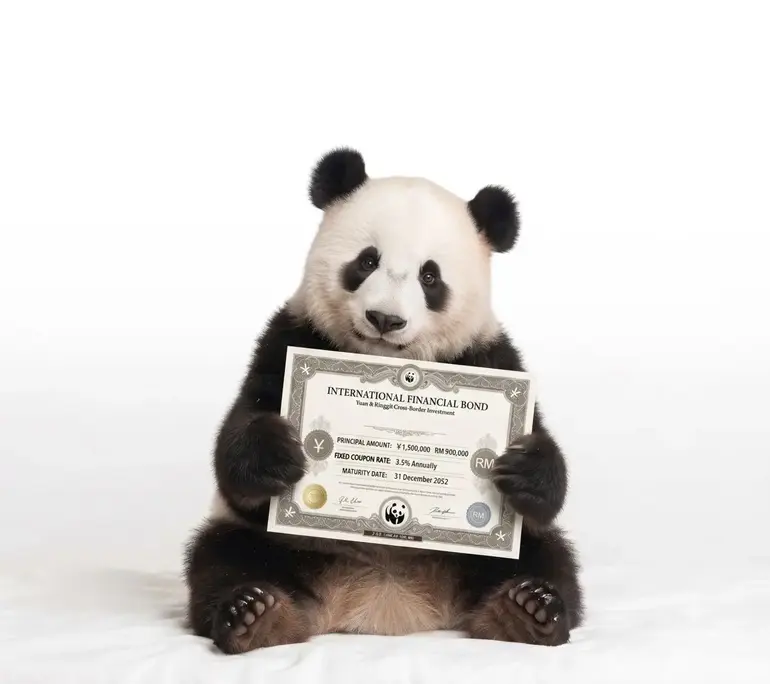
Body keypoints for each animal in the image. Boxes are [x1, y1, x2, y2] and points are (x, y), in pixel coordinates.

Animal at [183, 148, 584, 653]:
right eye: (367, 261)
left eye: (430, 277)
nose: (385, 319)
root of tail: (386, 598)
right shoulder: (290, 336)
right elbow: (240, 441)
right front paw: (278, 453)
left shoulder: (492, 355)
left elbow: (544, 479)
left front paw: (523, 468)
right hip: (277, 546)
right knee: (222, 558)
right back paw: (256, 614)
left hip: (490, 556)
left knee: (546, 557)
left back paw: (526, 610)